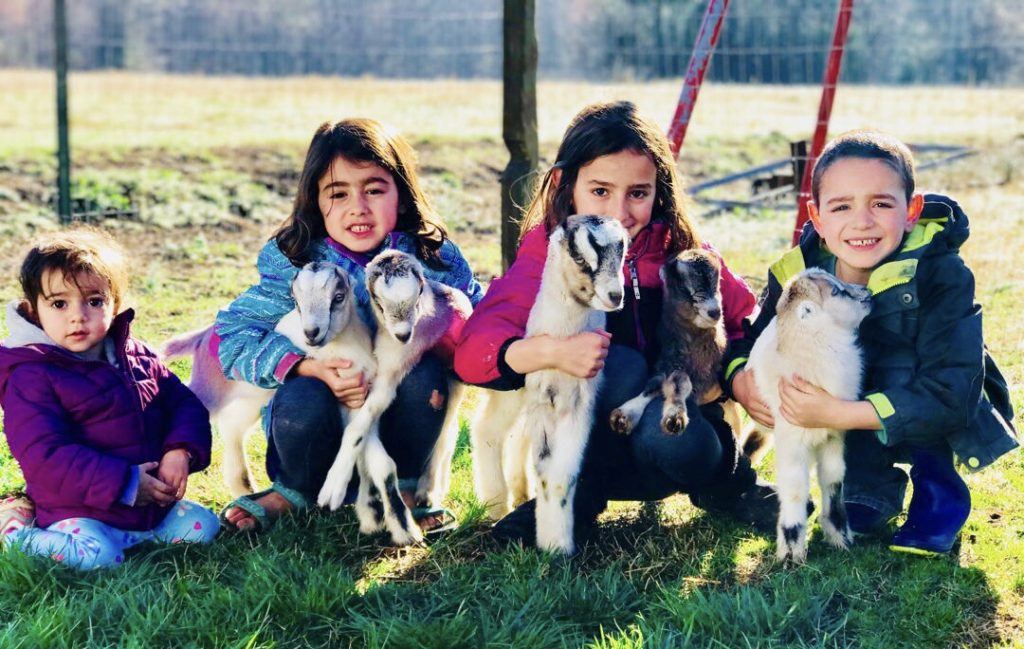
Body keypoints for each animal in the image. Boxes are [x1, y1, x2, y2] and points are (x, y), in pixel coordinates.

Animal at [317, 249, 473, 544]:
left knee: (447, 433)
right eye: (378, 301)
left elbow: (359, 425)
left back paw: (428, 490)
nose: (403, 334)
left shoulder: (392, 368)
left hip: (454, 384)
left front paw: (333, 487)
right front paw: (370, 510)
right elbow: (363, 428)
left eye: (419, 292)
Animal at [606, 247, 729, 434]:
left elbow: (679, 382)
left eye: (718, 283)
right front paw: (623, 416)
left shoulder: (700, 374)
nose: (715, 312)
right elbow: (656, 385)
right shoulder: (667, 362)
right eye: (682, 286)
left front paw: (674, 418)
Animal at [745, 266, 872, 560]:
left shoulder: (833, 436)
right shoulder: (792, 443)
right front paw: (791, 551)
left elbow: (834, 480)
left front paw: (839, 535)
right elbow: (794, 490)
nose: (867, 293)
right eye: (835, 291)